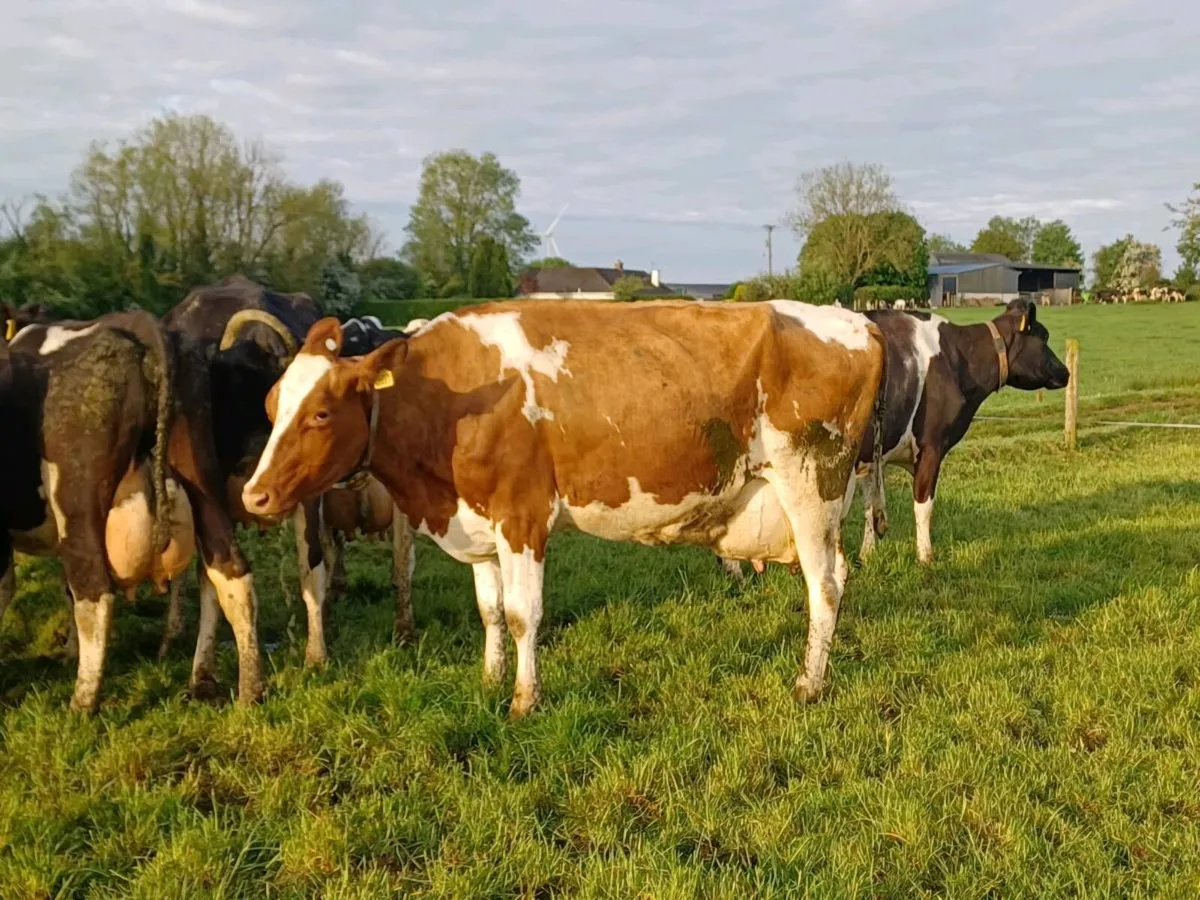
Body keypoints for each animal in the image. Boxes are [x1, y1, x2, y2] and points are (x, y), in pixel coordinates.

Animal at [237, 299, 888, 718]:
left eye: (321, 413)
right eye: (269, 405)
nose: (254, 495)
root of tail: (858, 321)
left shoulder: (522, 516)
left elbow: (524, 614)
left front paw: (525, 700)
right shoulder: (479, 523)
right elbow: (490, 611)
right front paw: (490, 679)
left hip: (810, 485)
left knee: (825, 585)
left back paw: (809, 684)